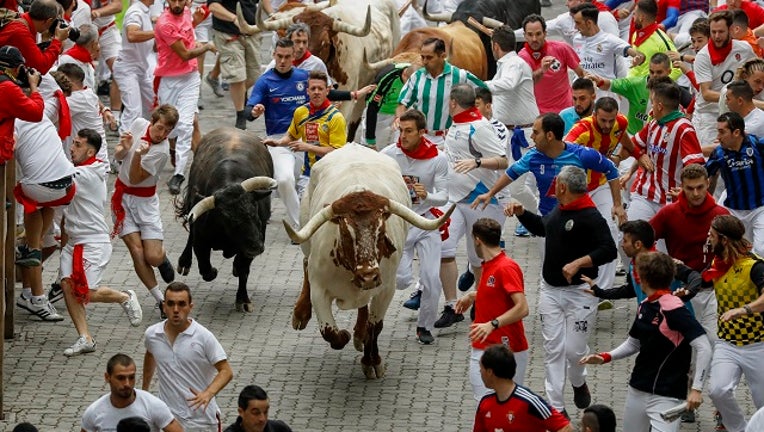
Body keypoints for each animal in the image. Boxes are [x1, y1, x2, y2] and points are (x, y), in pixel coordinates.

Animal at [175, 126, 274, 312]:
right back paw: (184, 262)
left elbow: (243, 268)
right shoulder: (201, 241)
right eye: (229, 220)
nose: (256, 247)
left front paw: (243, 299)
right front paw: (213, 271)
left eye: (255, 212)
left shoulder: (259, 235)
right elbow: (206, 270)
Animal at [286, 144, 454, 378]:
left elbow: (375, 326)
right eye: (346, 232)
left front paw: (372, 359)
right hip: (306, 240)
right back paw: (301, 313)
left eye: (380, 231)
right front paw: (345, 335)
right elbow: (330, 333)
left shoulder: (386, 289)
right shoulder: (319, 289)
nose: (368, 276)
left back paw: (359, 333)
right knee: (304, 263)